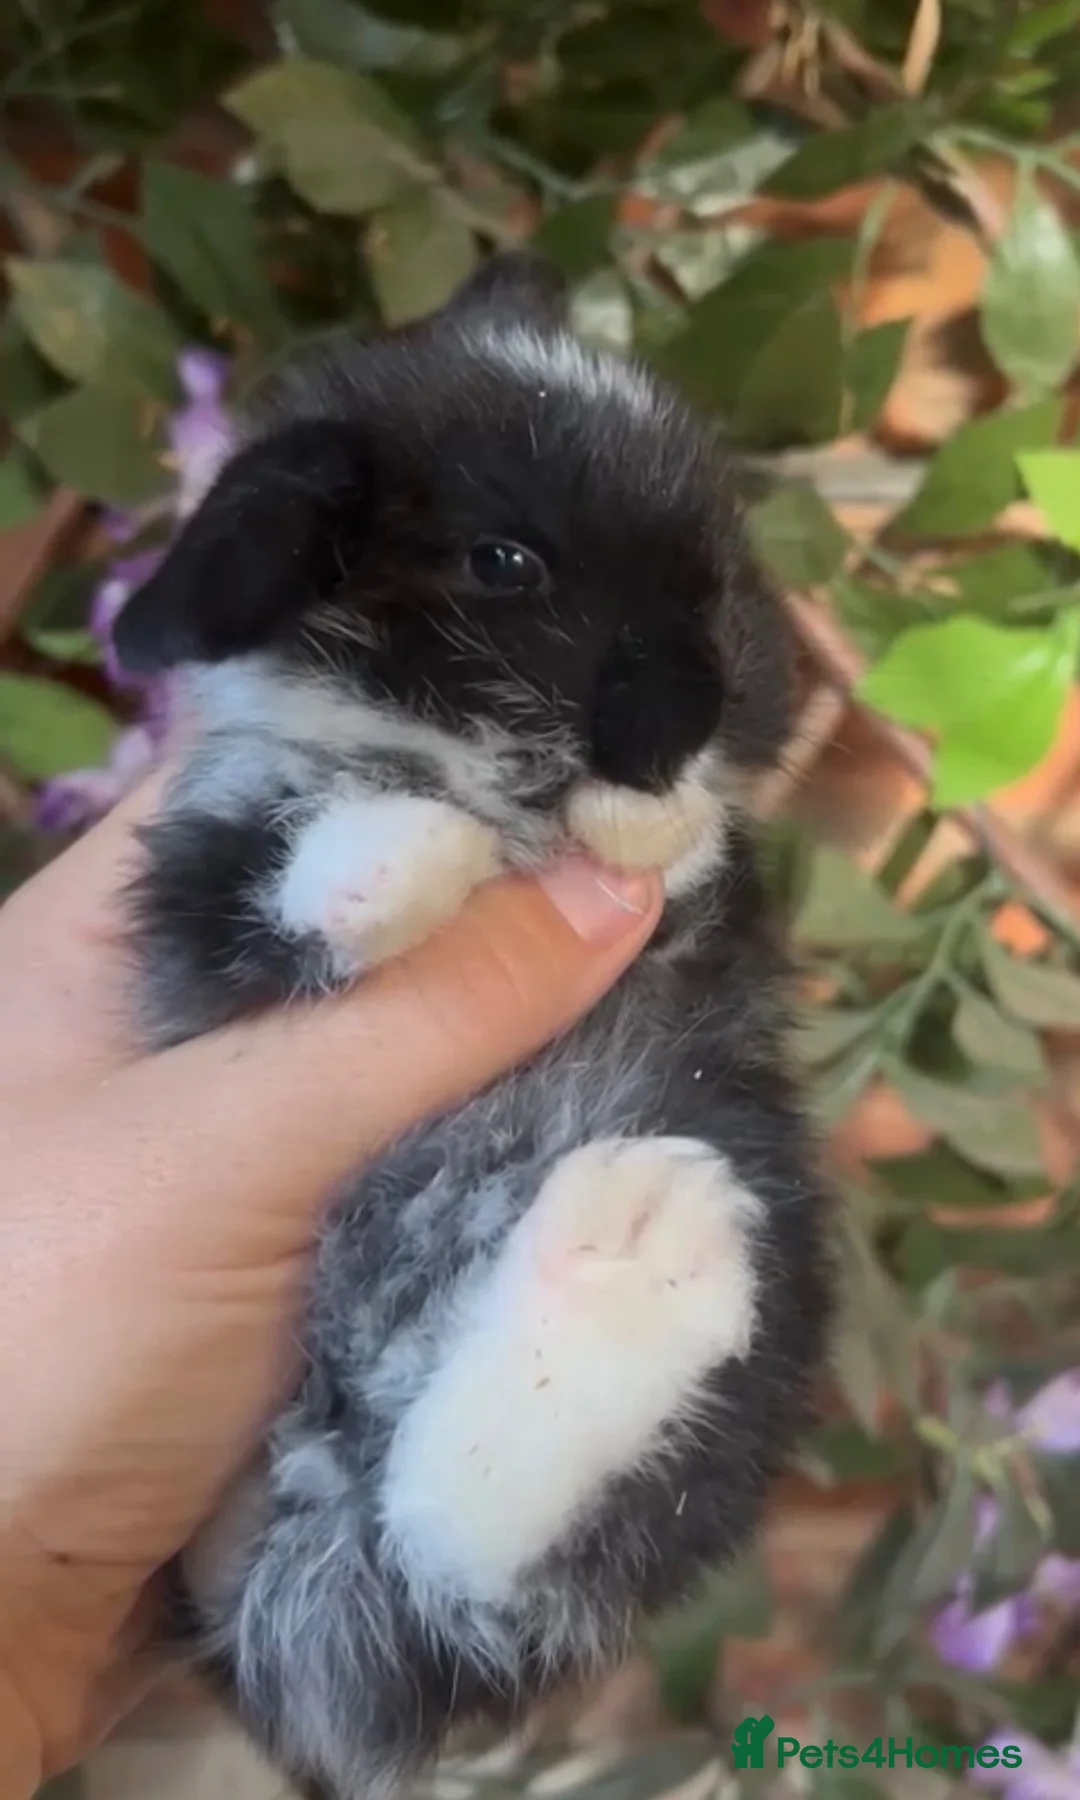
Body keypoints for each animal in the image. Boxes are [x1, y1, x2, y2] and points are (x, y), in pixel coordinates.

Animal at [114, 251, 834, 1800]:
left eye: (721, 558)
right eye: (505, 565)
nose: (699, 713)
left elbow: (688, 878)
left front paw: (658, 838)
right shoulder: (193, 902)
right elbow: (278, 883)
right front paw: (407, 858)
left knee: (461, 1556)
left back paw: (638, 1257)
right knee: (432, 1567)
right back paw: (631, 1253)